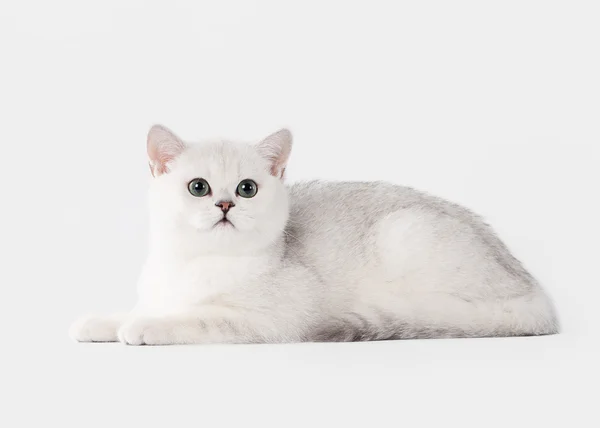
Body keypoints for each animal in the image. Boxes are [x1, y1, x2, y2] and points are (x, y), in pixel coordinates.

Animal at [69, 124, 556, 344]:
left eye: (246, 189)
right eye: (198, 187)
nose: (224, 205)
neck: (195, 264)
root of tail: (536, 294)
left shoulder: (269, 321)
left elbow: (193, 317)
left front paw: (143, 326)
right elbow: (138, 308)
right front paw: (102, 321)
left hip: (405, 233)